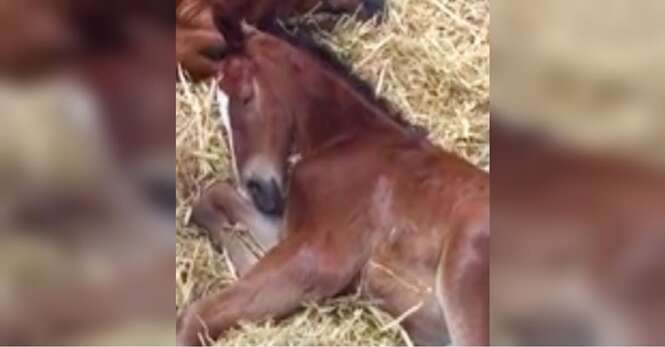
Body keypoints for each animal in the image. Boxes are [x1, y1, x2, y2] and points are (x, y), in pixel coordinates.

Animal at [176, 23, 488, 346]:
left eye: (247, 97)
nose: (257, 190)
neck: (347, 141)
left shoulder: (323, 255)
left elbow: (197, 316)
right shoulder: (295, 231)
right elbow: (211, 197)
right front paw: (247, 258)